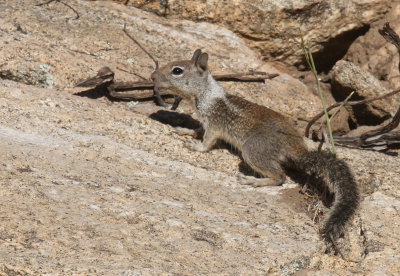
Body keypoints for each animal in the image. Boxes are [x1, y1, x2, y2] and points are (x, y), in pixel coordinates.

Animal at [152, 49, 360, 239]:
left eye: (177, 70)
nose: (152, 76)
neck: (205, 94)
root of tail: (296, 148)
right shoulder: (205, 122)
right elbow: (197, 130)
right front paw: (185, 130)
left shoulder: (214, 124)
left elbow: (207, 141)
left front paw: (196, 147)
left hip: (252, 149)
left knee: (280, 177)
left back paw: (253, 181)